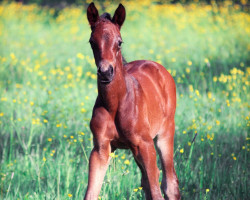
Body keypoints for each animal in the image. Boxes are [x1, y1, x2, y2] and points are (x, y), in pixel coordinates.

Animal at [85, 3, 181, 200]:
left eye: (119, 42)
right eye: (91, 41)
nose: (105, 72)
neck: (115, 104)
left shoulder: (145, 145)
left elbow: (157, 190)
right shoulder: (100, 149)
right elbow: (91, 193)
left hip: (165, 134)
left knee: (169, 183)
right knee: (146, 183)